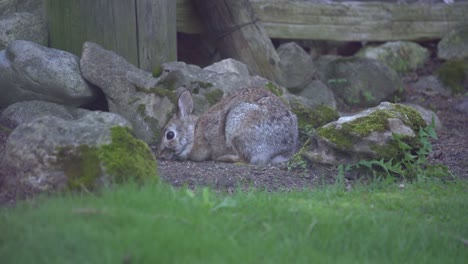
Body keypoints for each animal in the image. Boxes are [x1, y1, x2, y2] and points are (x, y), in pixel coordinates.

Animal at [159, 86, 298, 165]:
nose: (161, 156)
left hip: (237, 126)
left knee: (246, 159)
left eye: (170, 135)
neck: (195, 131)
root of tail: (283, 150)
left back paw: (223, 158)